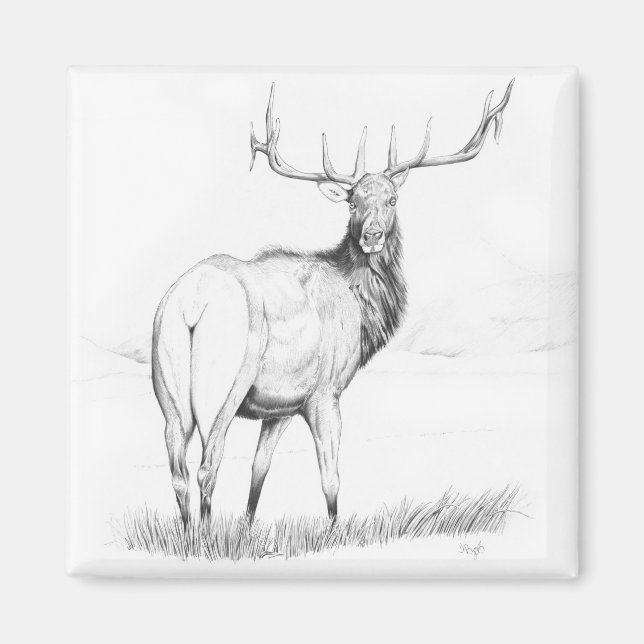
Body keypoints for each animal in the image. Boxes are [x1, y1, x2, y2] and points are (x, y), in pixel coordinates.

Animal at [151, 79, 514, 525]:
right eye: (352, 202)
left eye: (392, 199)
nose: (372, 235)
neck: (361, 311)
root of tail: (191, 304)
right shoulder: (326, 392)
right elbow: (331, 477)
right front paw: (333, 530)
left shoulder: (281, 406)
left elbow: (259, 472)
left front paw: (248, 528)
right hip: (224, 384)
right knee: (207, 465)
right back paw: (204, 534)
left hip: (167, 387)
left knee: (179, 471)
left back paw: (190, 533)